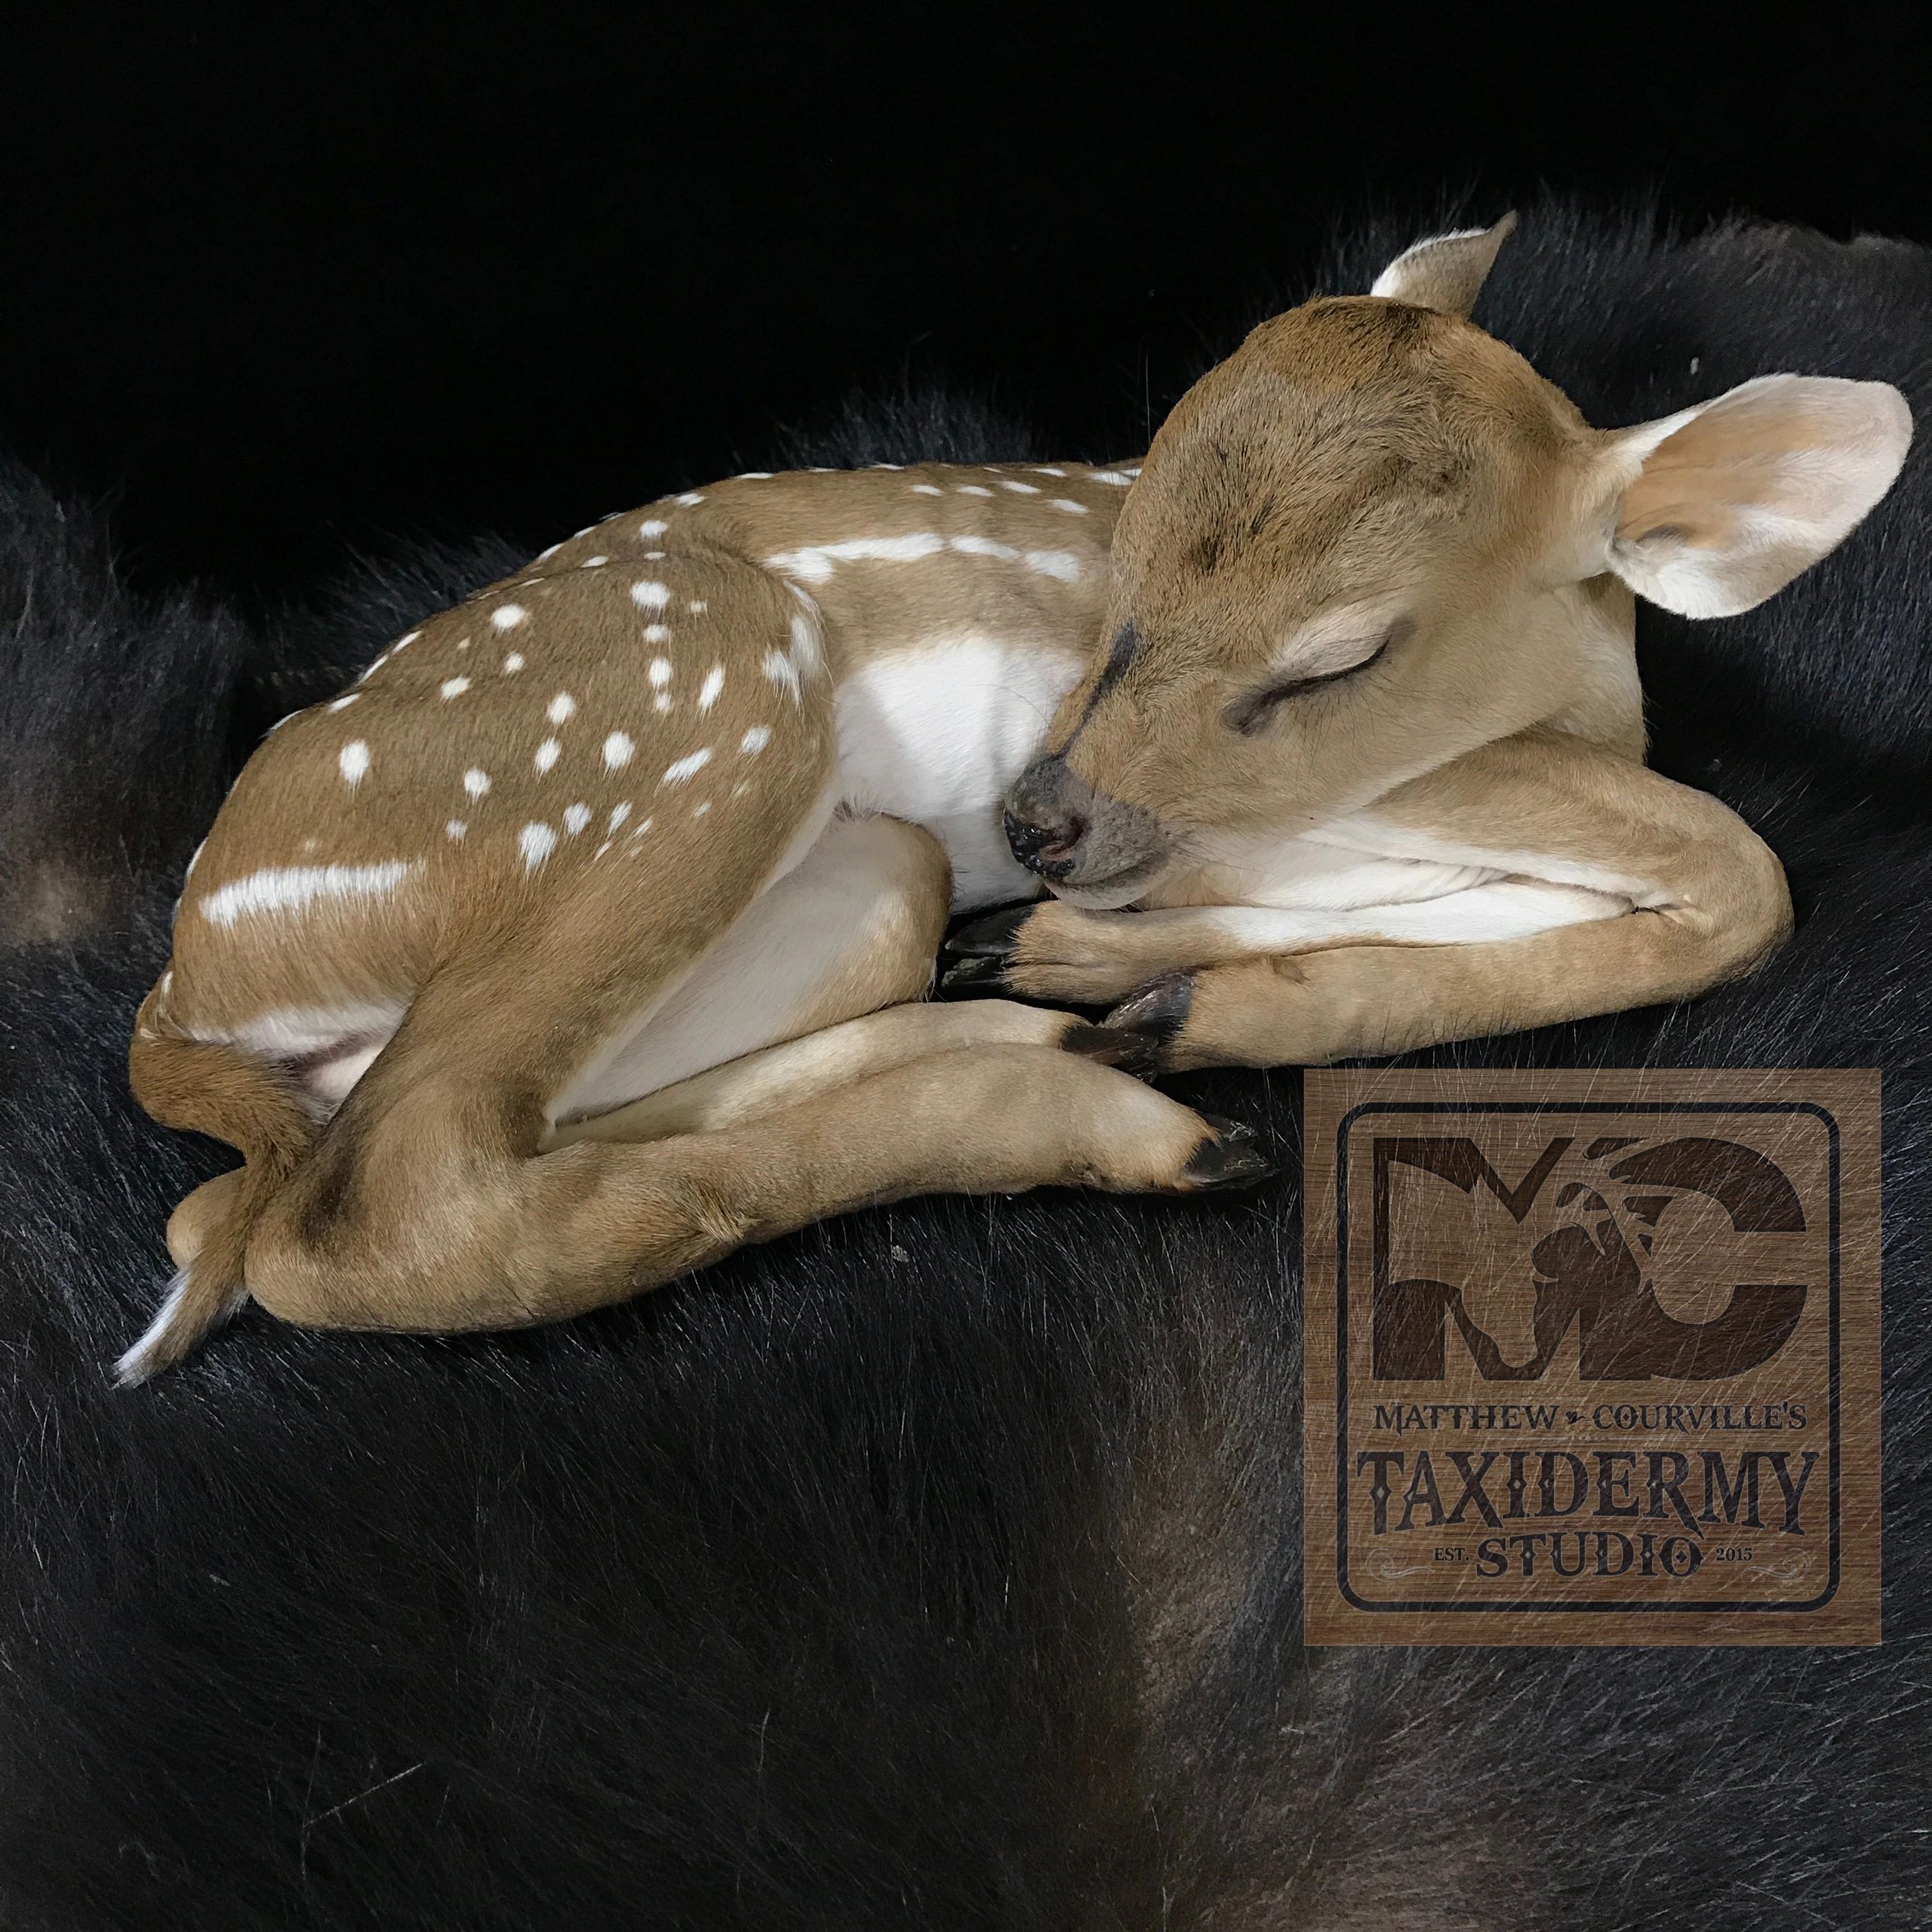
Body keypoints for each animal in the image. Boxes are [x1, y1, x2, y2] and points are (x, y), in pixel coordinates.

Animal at [119, 214, 1911, 1382]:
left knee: (267, 1197)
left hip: (864, 870)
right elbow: (1736, 865)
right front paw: (1190, 997)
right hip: (695, 715)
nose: (1042, 817)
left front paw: (1151, 979)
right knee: (376, 1209)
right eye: (1122, 563)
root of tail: (186, 990)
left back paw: (1051, 1035)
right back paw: (1127, 1119)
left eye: (1336, 654)